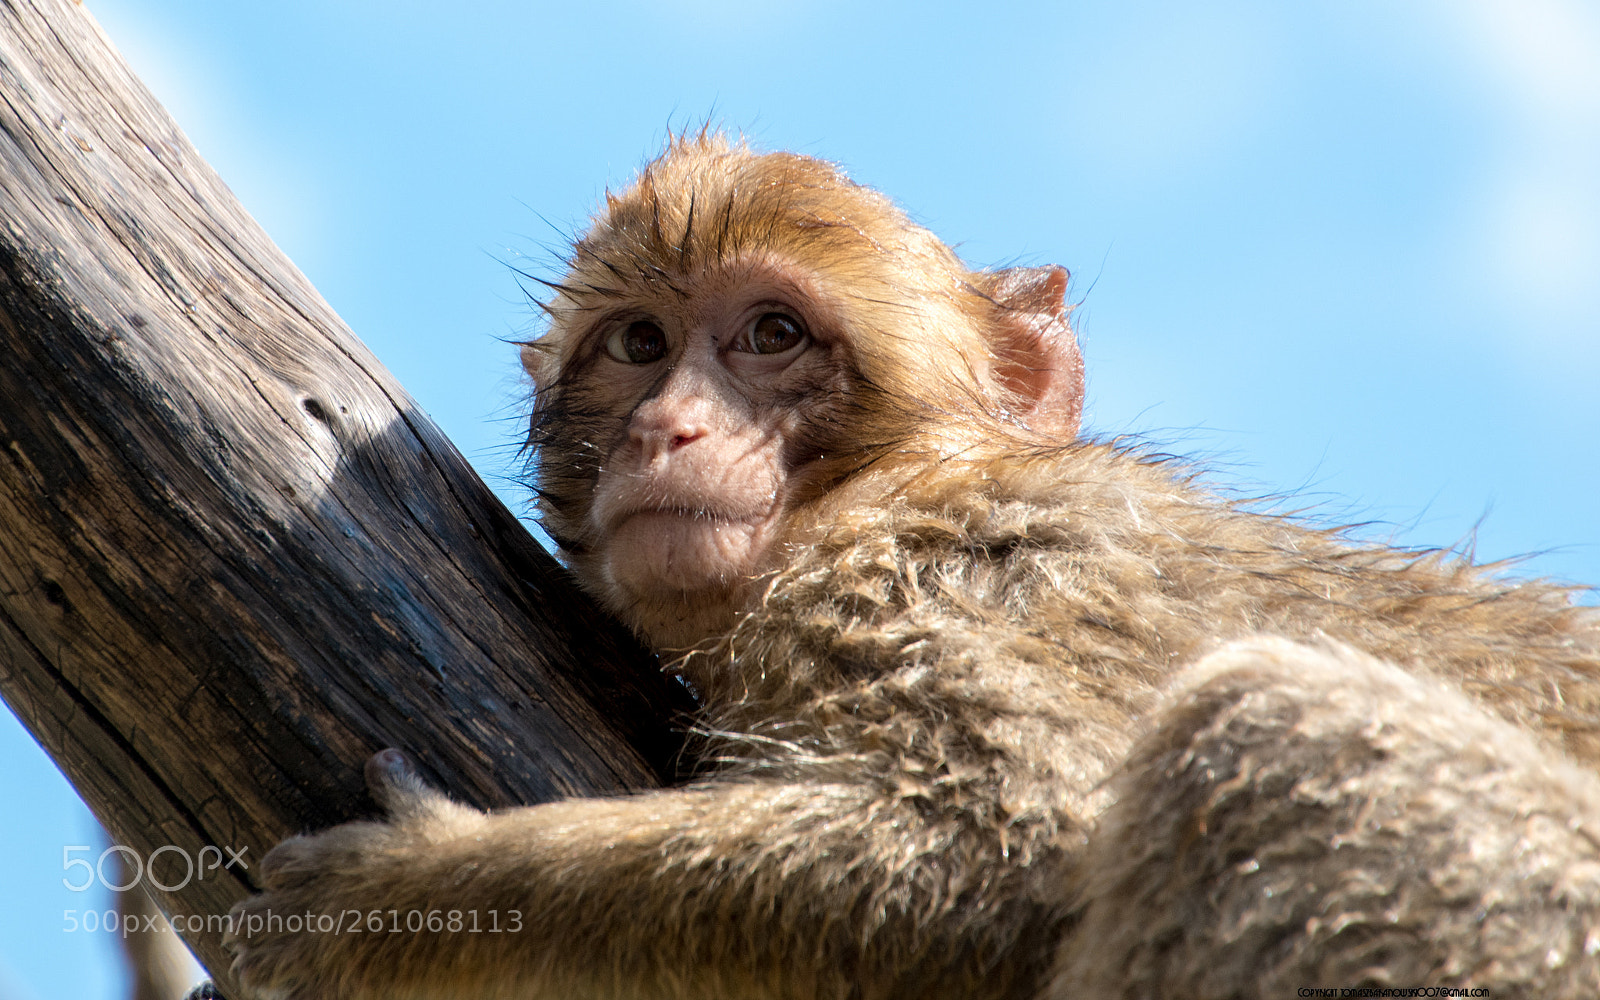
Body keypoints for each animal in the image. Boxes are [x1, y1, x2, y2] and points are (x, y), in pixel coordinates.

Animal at [225, 133, 1600, 999]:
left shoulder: (921, 580)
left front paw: (423, 898)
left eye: (772, 334)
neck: (883, 486)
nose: (670, 429)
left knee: (1258, 727)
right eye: (638, 345)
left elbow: (1009, 846)